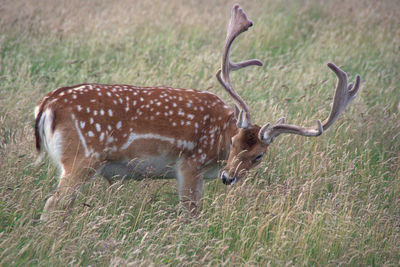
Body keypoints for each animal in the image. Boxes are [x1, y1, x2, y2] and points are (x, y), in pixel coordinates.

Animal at [35, 4, 360, 222]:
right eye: (234, 142)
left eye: (259, 156)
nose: (228, 177)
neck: (218, 140)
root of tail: (47, 105)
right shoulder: (190, 164)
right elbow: (191, 213)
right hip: (81, 158)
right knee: (52, 205)